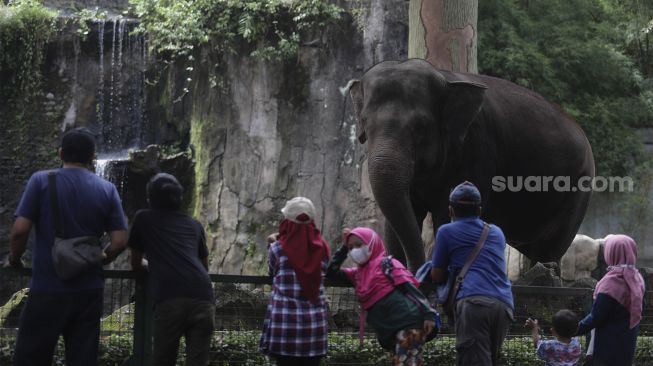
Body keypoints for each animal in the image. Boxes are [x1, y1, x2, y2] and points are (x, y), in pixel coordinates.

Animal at [346, 59, 596, 272]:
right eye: (365, 124)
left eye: (421, 126)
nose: (416, 270)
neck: (445, 78)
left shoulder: (476, 147)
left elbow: (450, 213)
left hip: (578, 188)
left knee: (549, 249)